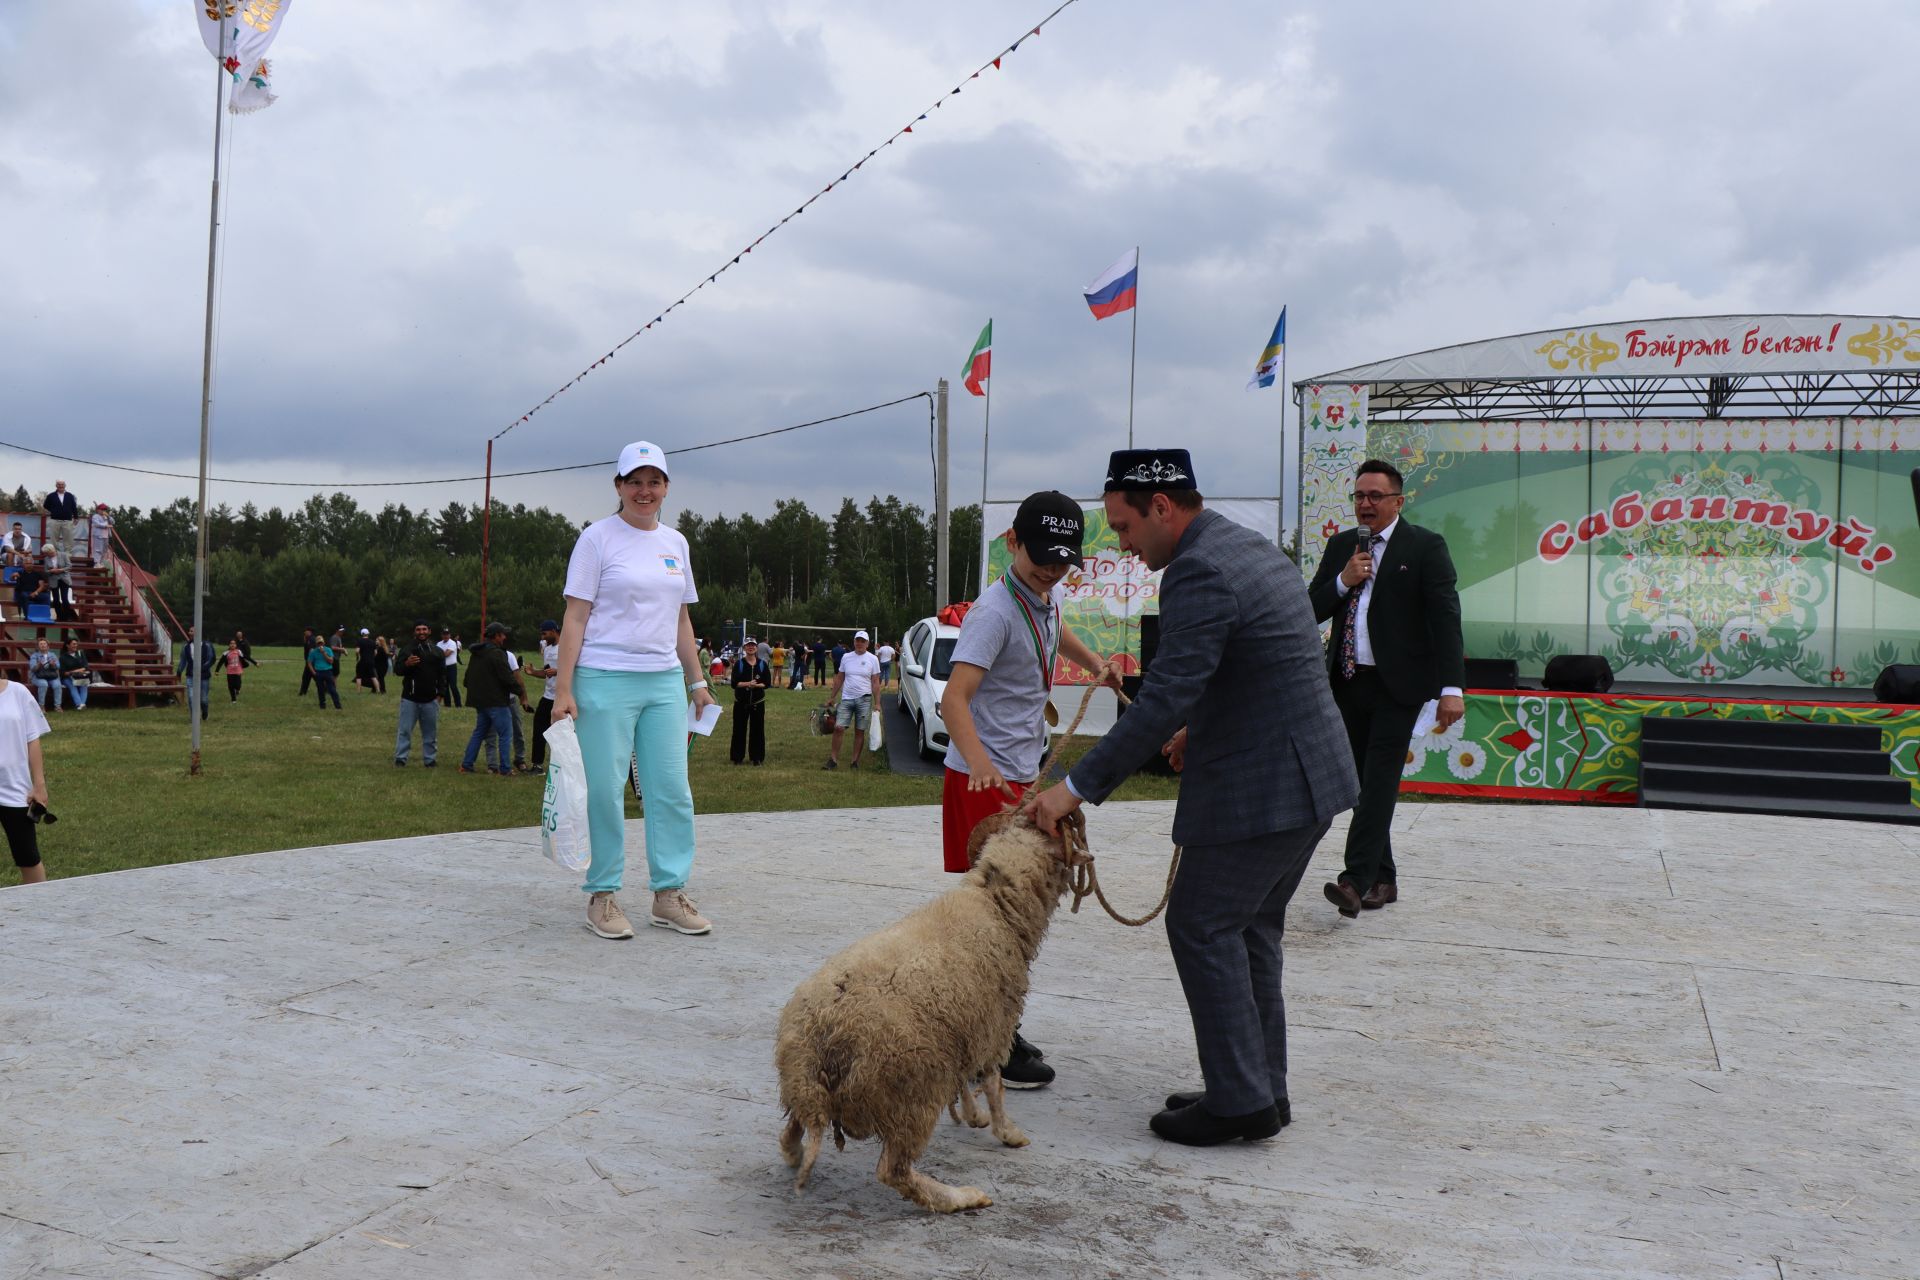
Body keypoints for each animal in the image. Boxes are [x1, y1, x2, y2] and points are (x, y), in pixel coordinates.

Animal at [775, 809, 1082, 1212]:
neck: (995, 905)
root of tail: (820, 1041)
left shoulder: (967, 1028)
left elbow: (970, 1082)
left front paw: (973, 1115)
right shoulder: (994, 1025)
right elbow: (994, 1084)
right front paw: (1007, 1132)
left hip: (808, 1088)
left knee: (790, 1132)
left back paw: (794, 1152)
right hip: (912, 1094)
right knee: (894, 1171)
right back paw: (959, 1197)